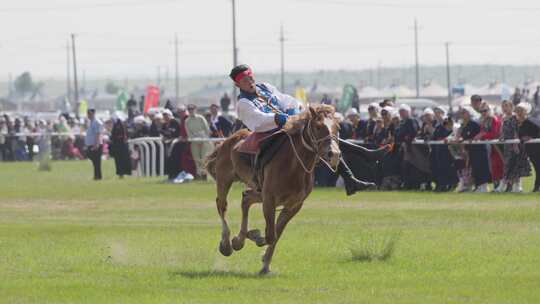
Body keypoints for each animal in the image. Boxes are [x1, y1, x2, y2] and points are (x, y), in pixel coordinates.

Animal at [205, 104, 340, 274]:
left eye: (338, 127)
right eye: (318, 126)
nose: (334, 154)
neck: (293, 165)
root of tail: (229, 141)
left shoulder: (294, 205)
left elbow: (277, 233)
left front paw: (265, 263)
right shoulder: (269, 199)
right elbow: (270, 235)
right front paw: (255, 237)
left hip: (258, 190)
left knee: (246, 198)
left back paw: (240, 239)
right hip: (225, 180)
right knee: (222, 205)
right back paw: (227, 244)